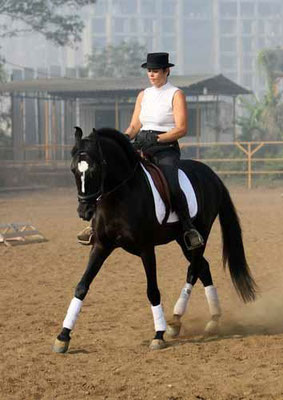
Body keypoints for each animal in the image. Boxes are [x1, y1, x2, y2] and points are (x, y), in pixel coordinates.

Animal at [52, 126, 258, 354]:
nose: (84, 211)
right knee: (203, 268)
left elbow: (152, 290)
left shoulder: (146, 249)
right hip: (182, 240)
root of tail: (212, 175)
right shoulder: (101, 246)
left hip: (198, 236)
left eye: (96, 169)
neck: (120, 196)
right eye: (73, 170)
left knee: (194, 269)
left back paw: (177, 321)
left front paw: (158, 335)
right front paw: (63, 336)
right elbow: (82, 286)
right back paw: (207, 320)